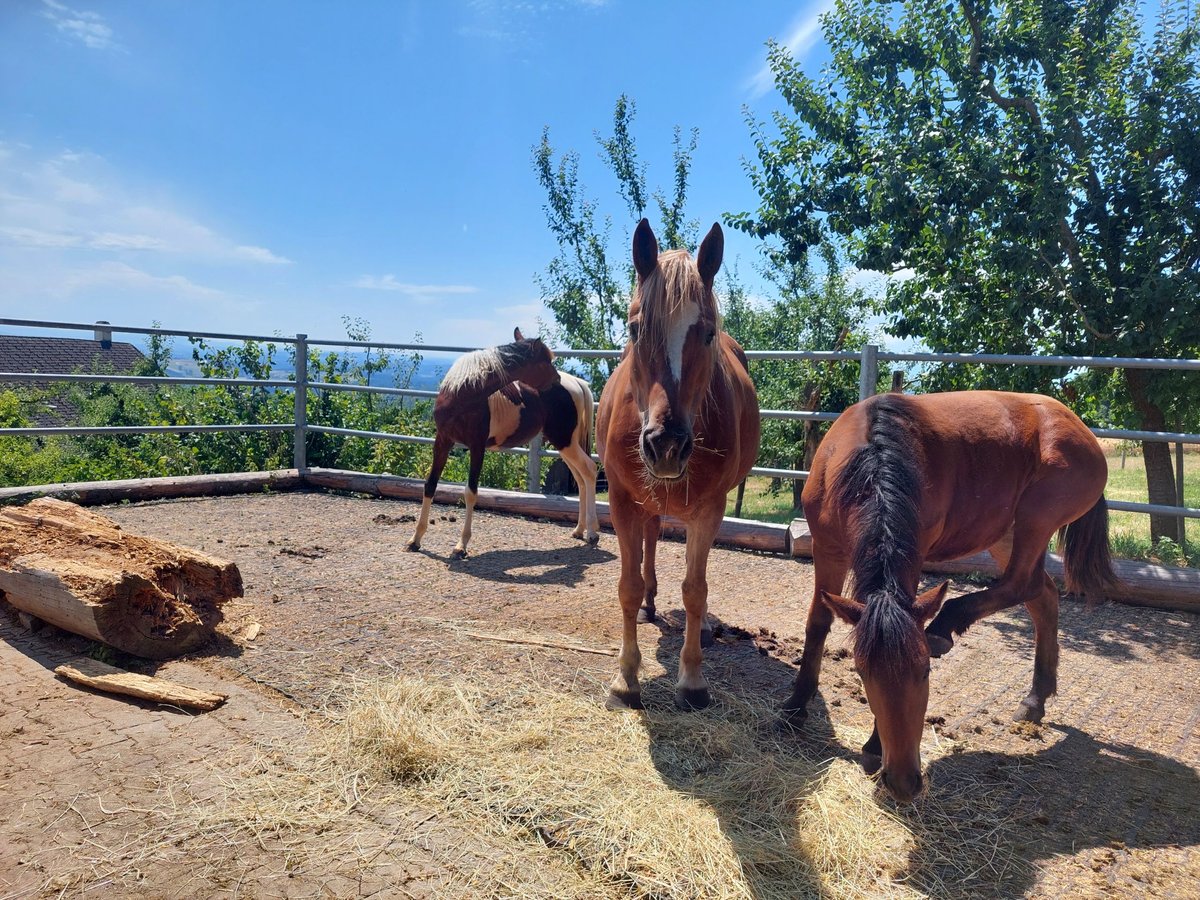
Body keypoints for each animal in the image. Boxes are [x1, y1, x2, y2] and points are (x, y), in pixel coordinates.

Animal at [407, 328, 600, 559]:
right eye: (544, 361)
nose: (556, 379)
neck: (462, 394)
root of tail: (577, 384)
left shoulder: (477, 446)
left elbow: (470, 492)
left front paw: (461, 546)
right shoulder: (443, 441)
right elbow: (430, 485)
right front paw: (415, 540)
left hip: (564, 441)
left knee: (589, 470)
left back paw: (592, 533)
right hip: (564, 443)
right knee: (581, 478)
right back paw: (579, 530)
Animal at [597, 219, 760, 711]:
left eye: (706, 333)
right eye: (635, 329)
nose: (665, 445)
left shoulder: (710, 507)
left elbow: (694, 588)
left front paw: (691, 681)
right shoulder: (621, 500)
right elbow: (627, 585)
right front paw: (626, 678)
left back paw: (701, 625)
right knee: (650, 539)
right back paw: (650, 602)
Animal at [783, 390, 1115, 803]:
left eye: (925, 671)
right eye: (862, 673)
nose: (903, 780)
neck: (868, 460)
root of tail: (1077, 425)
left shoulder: (912, 557)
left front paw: (873, 746)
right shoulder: (827, 551)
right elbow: (817, 624)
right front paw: (796, 705)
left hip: (1035, 520)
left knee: (1022, 584)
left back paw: (946, 625)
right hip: (1005, 534)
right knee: (1043, 597)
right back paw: (1035, 699)